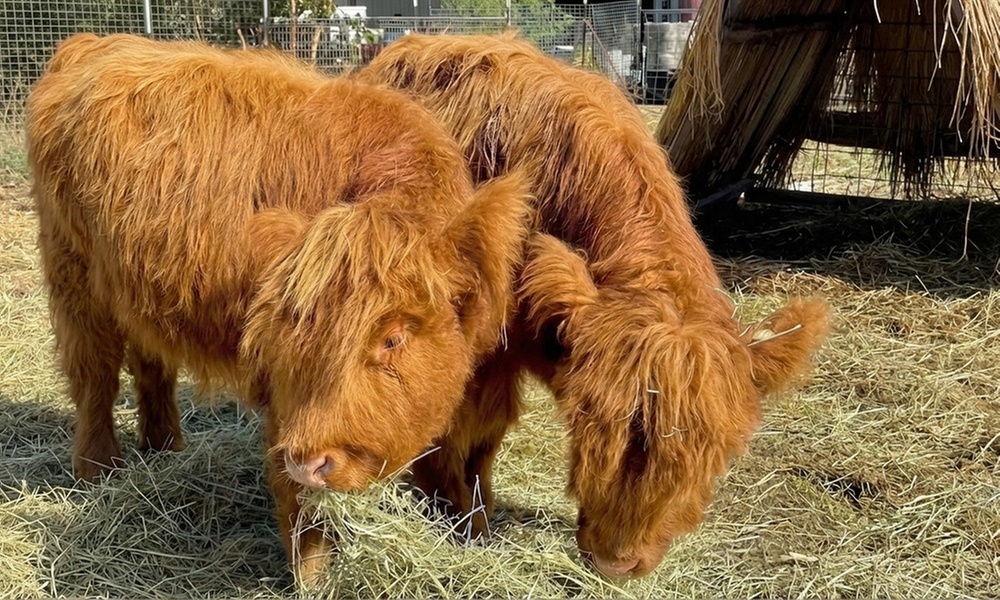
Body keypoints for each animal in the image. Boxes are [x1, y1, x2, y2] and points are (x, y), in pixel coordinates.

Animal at [26, 33, 530, 582]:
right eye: (288, 336)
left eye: (392, 338)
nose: (311, 460)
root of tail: (95, 44)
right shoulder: (284, 402)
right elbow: (301, 502)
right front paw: (312, 574)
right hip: (74, 279)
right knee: (93, 377)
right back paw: (98, 471)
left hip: (131, 293)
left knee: (150, 364)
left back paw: (164, 448)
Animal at [358, 32, 831, 579]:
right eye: (595, 429)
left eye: (709, 452)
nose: (616, 563)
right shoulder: (476, 349)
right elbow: (463, 425)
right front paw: (460, 520)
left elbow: (484, 433)